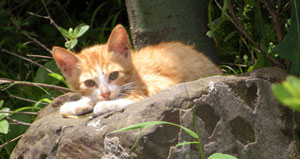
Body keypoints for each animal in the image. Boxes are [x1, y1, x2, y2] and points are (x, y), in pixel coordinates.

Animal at [51, 24, 221, 117]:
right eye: (89, 83)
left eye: (114, 75)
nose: (105, 93)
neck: (134, 70)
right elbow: (92, 98)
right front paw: (77, 104)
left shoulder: (164, 84)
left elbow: (135, 98)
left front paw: (104, 105)